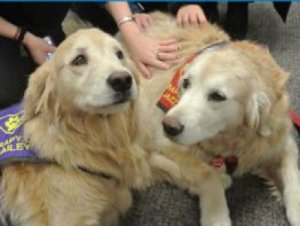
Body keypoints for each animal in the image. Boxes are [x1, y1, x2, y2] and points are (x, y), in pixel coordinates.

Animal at [119, 12, 300, 226]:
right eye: (186, 83)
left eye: (217, 96)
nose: (168, 126)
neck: (234, 138)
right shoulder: (168, 142)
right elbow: (207, 175)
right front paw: (216, 215)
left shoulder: (279, 138)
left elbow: (292, 176)